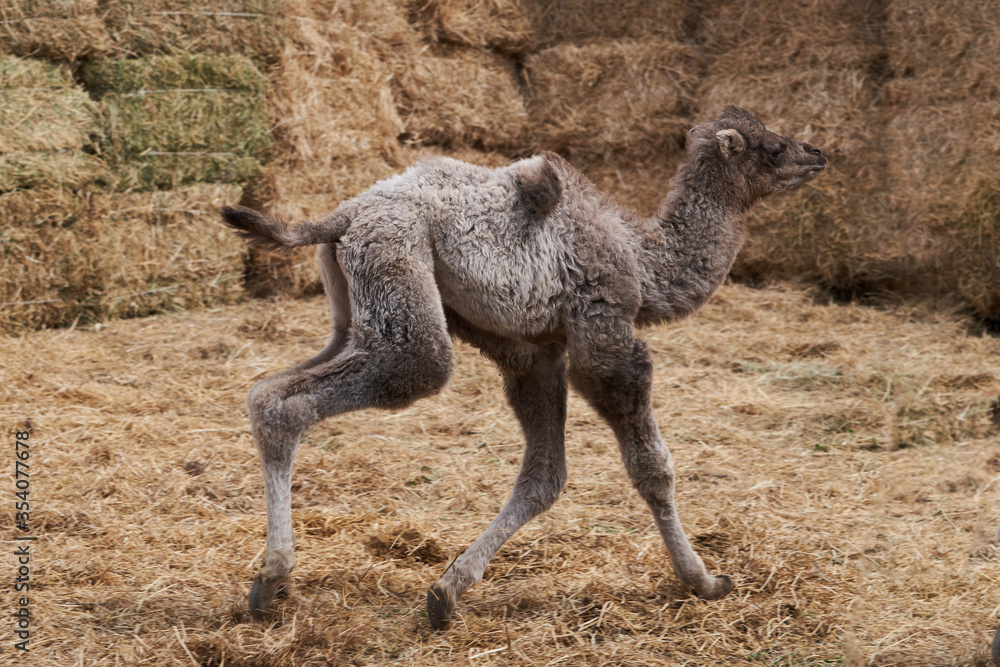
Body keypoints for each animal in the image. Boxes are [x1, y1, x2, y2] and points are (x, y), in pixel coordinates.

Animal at [221, 106, 827, 629]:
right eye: (773, 148)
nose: (817, 153)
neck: (644, 262)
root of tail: (342, 215)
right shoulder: (603, 334)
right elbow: (651, 467)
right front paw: (704, 581)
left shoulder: (535, 353)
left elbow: (545, 476)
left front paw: (448, 590)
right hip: (400, 273)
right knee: (353, 386)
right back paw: (273, 579)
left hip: (349, 315)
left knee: (266, 393)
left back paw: (270, 582)